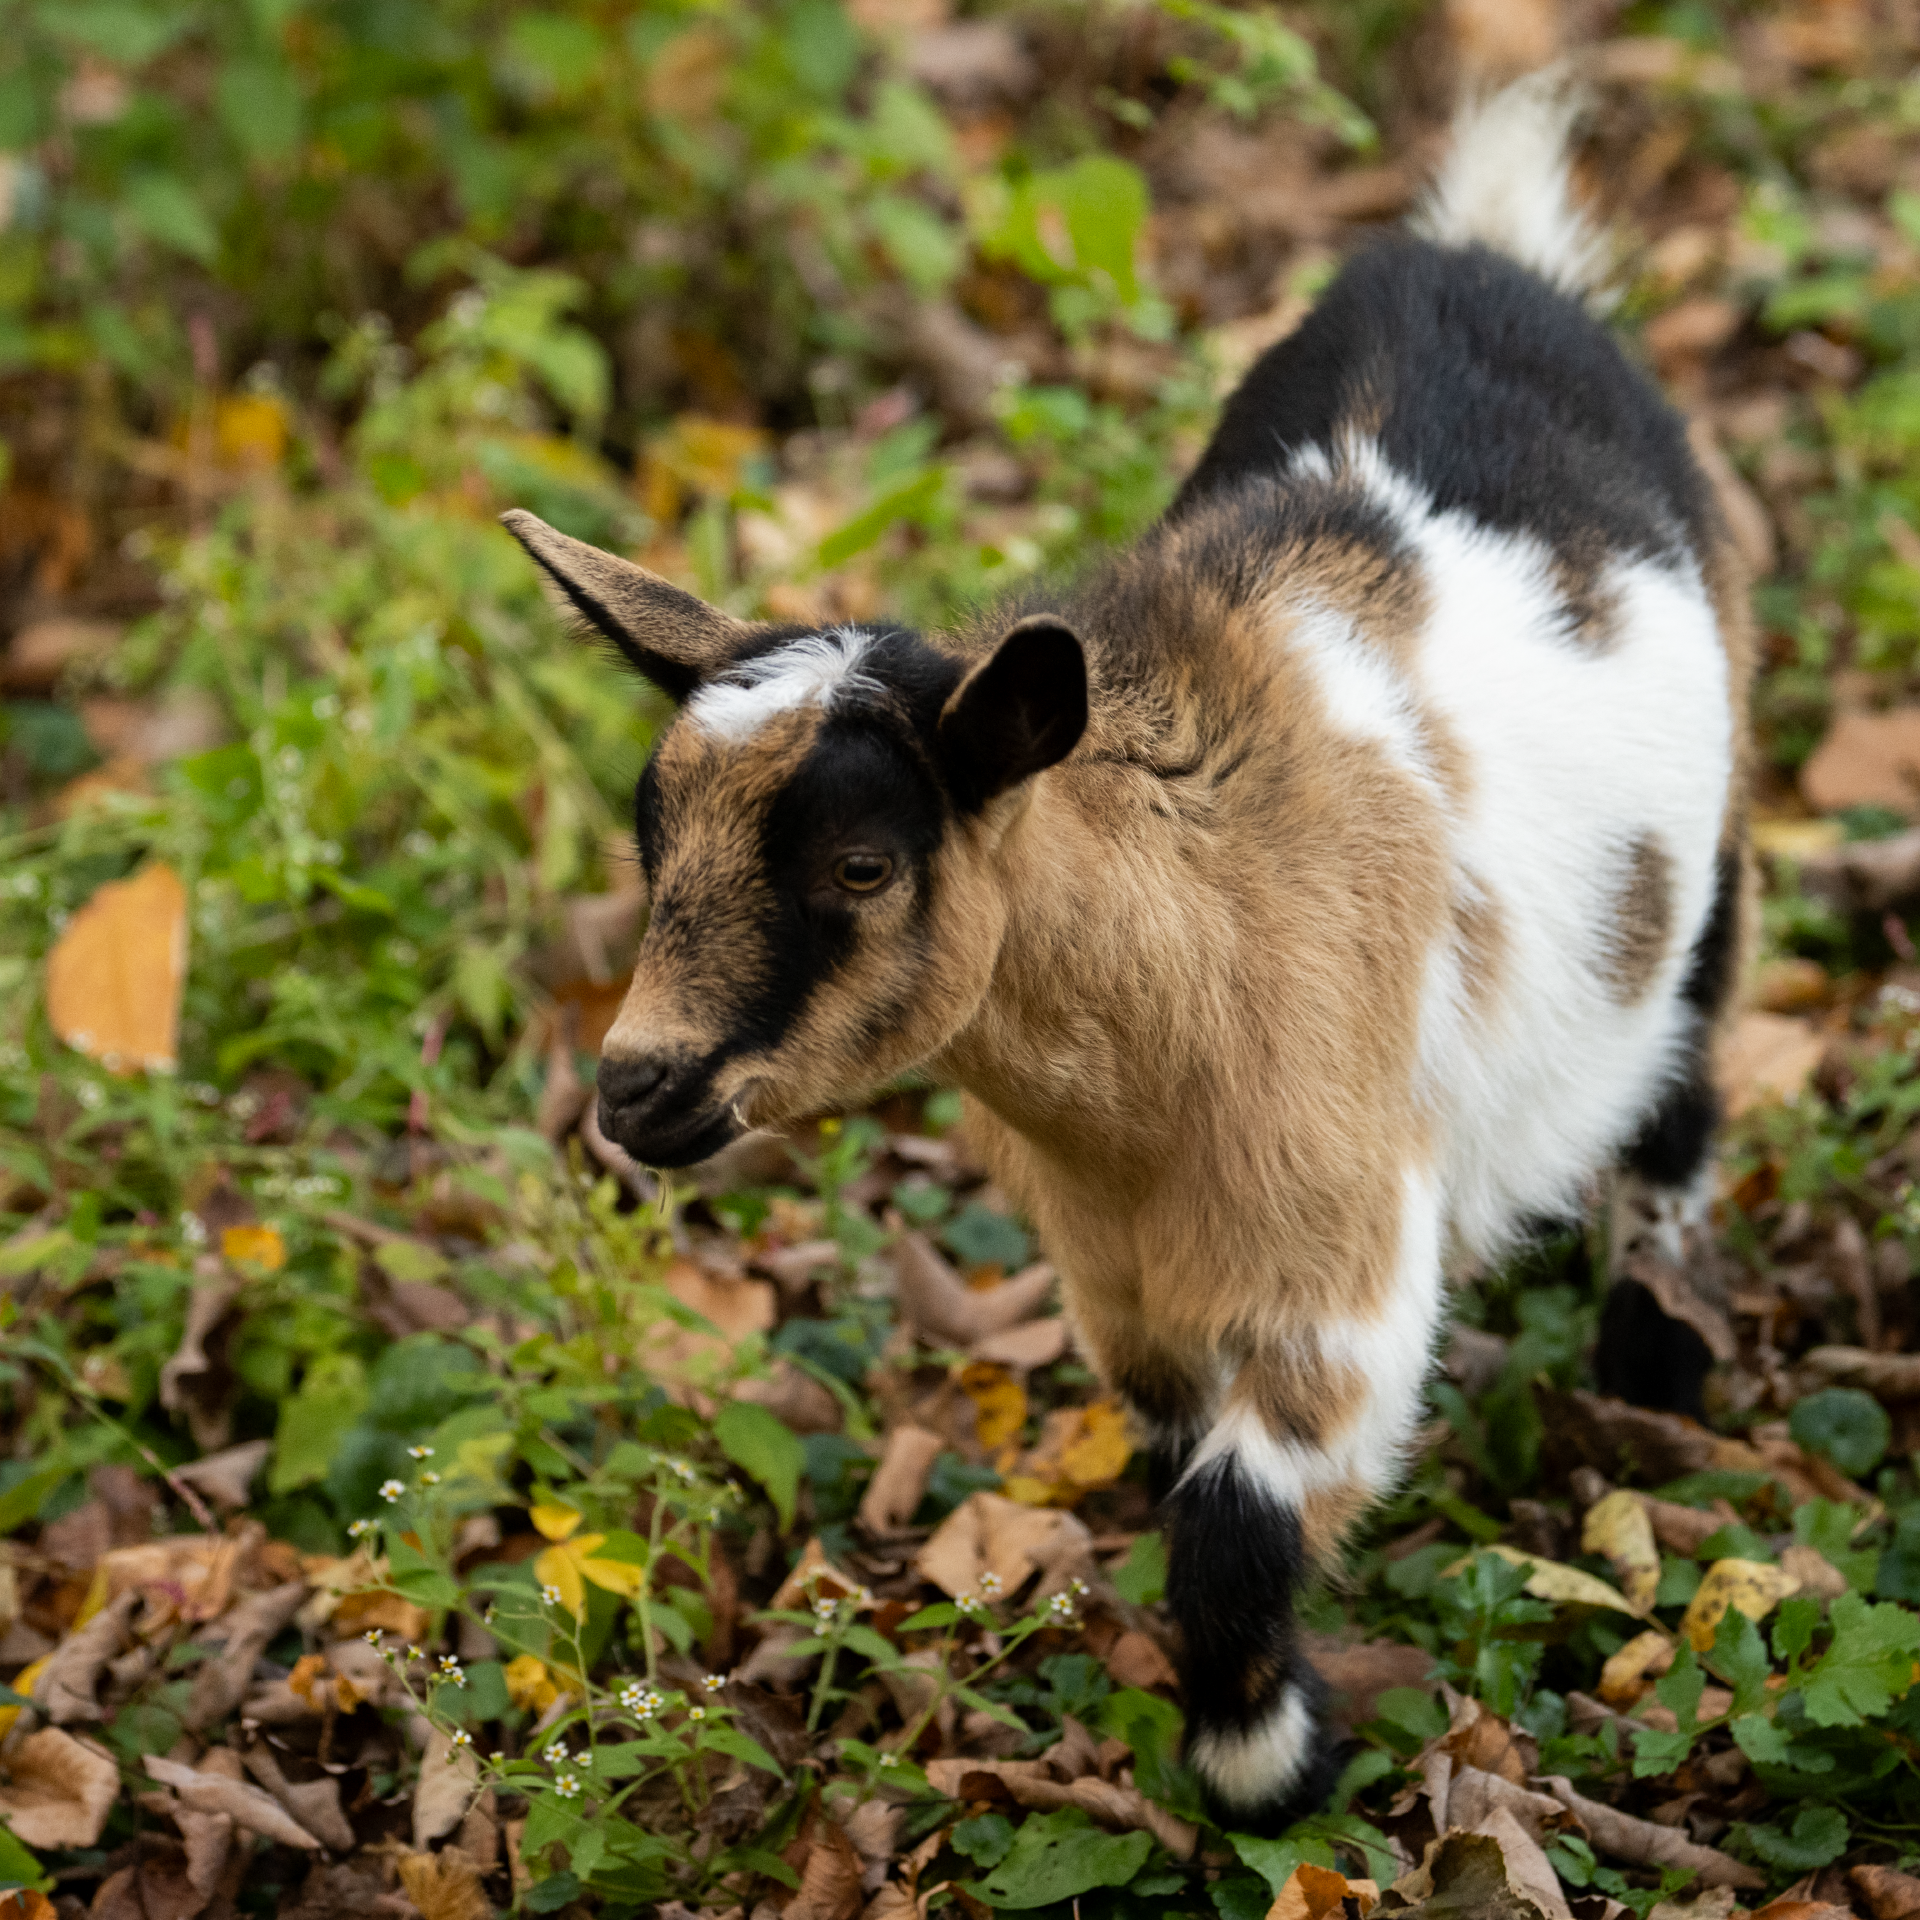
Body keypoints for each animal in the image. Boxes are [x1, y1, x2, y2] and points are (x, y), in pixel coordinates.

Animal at [502, 71, 1751, 1827]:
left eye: (864, 862)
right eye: (647, 838)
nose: (635, 1091)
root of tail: (1486, 254)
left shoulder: (1338, 1273)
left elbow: (1231, 1529)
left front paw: (1268, 1773)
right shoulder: (1120, 1287)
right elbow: (1179, 1479)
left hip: (1703, 872)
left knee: (1688, 1072)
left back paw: (1655, 1358)